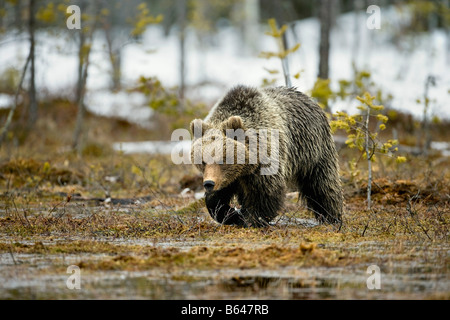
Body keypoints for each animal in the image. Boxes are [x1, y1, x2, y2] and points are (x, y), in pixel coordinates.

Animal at [189, 85, 342, 228]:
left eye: (223, 159)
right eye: (202, 160)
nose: (209, 183)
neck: (245, 167)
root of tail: (311, 100)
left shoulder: (265, 161)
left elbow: (265, 192)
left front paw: (251, 219)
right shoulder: (230, 177)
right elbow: (216, 199)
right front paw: (233, 214)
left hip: (313, 149)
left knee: (322, 184)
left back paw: (332, 218)